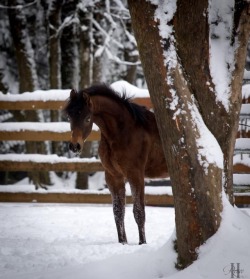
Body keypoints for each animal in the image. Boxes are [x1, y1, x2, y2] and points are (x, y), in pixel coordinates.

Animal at [64, 85, 169, 245]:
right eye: (69, 117)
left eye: (87, 118)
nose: (75, 146)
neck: (123, 131)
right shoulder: (114, 176)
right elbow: (118, 211)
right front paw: (123, 243)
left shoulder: (135, 175)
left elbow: (139, 211)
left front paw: (142, 243)